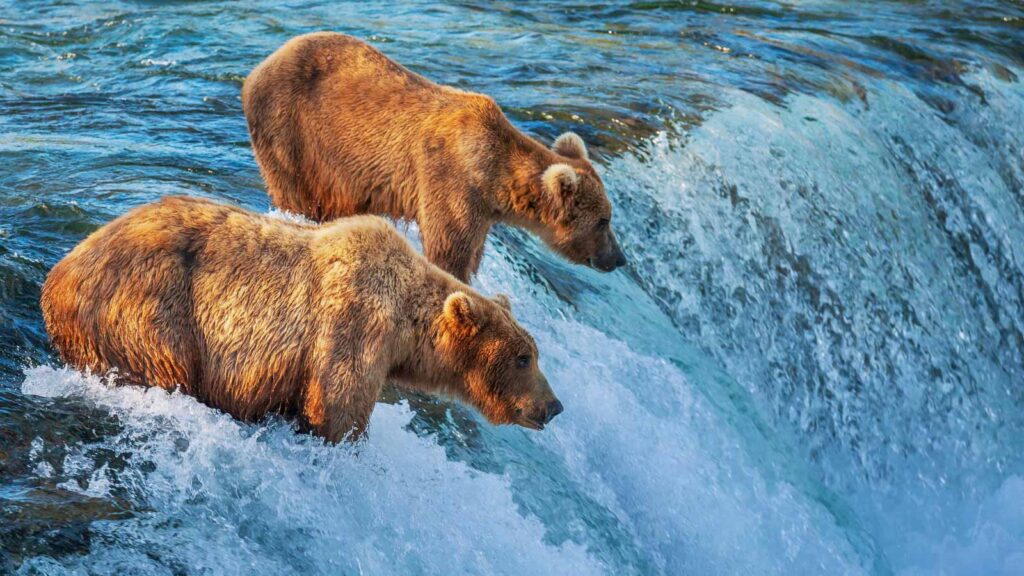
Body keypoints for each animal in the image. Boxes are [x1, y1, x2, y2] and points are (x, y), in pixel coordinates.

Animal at [39, 194, 565, 440]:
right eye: (524, 358)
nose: (554, 406)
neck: (404, 326)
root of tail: (59, 273)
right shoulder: (352, 327)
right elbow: (335, 409)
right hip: (147, 311)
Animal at [243, 31, 626, 282]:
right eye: (603, 220)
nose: (619, 258)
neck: (495, 179)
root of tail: (259, 66)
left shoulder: (483, 210)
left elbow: (470, 255)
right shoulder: (452, 181)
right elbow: (449, 252)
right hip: (292, 132)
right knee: (297, 192)